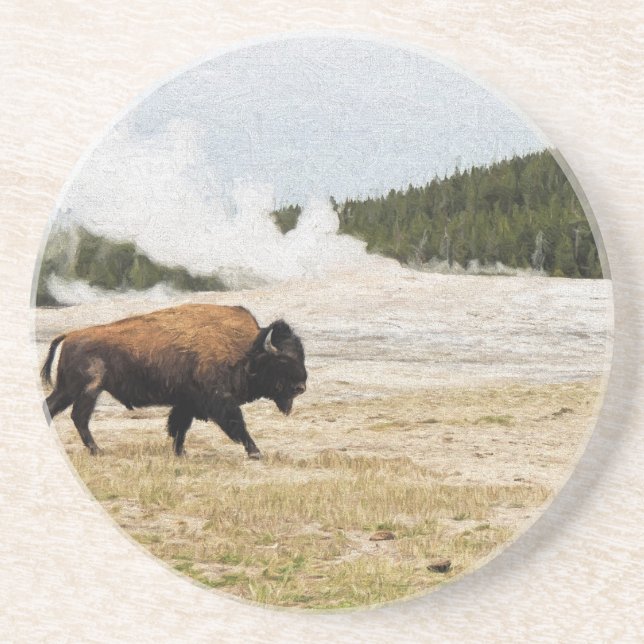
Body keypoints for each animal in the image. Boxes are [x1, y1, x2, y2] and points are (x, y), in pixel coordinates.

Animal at [41, 304, 307, 458]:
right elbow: (237, 424)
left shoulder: (187, 402)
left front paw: (180, 453)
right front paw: (255, 452)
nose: (301, 387)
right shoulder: (220, 400)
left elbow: (179, 427)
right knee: (79, 417)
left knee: (53, 408)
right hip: (87, 390)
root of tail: (71, 335)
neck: (247, 350)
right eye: (283, 360)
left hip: (67, 389)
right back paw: (97, 451)